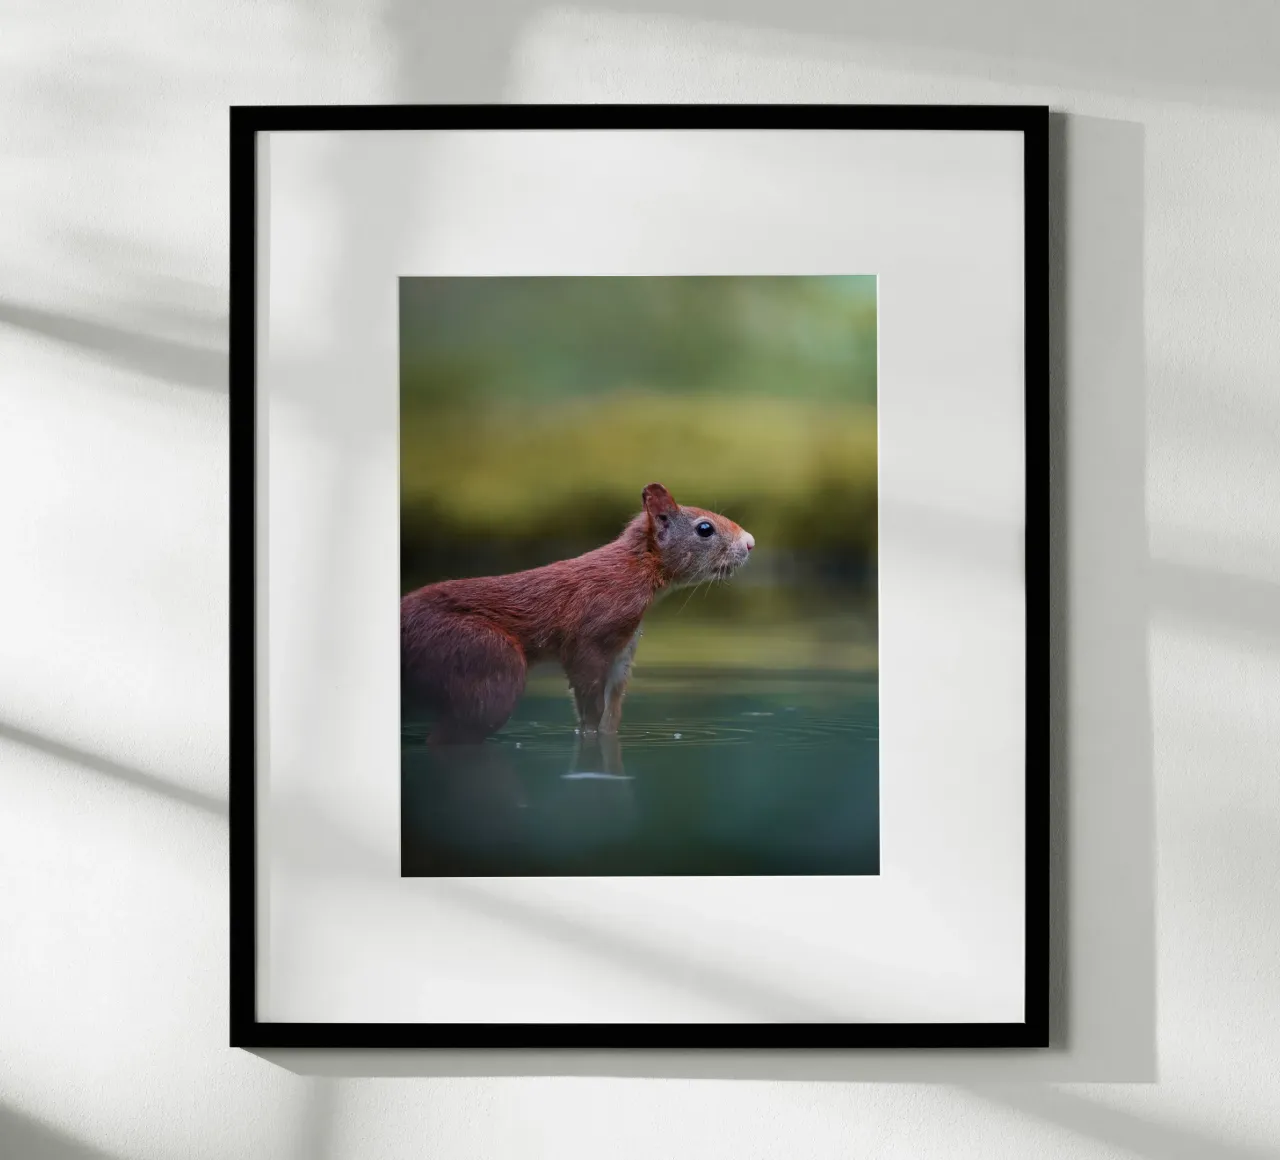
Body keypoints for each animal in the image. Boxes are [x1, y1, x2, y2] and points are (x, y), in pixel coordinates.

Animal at [401, 482, 755, 743]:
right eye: (705, 529)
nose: (750, 543)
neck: (635, 570)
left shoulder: (622, 651)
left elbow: (611, 712)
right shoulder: (591, 636)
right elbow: (589, 703)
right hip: (483, 657)